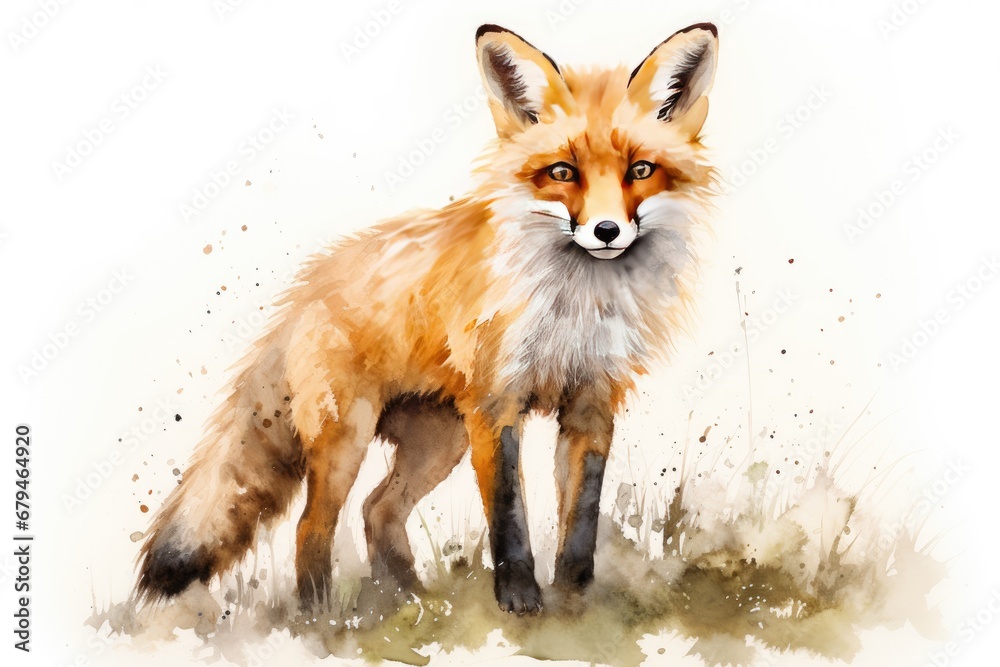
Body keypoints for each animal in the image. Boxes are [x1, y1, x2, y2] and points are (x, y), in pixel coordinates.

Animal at [136, 22, 719, 615]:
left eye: (640, 171)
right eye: (562, 172)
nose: (605, 231)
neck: (576, 305)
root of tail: (307, 287)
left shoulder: (592, 404)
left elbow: (580, 517)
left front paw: (574, 600)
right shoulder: (495, 407)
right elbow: (509, 515)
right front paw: (519, 599)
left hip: (439, 444)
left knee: (377, 509)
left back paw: (412, 600)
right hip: (350, 438)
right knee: (311, 527)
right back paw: (322, 617)